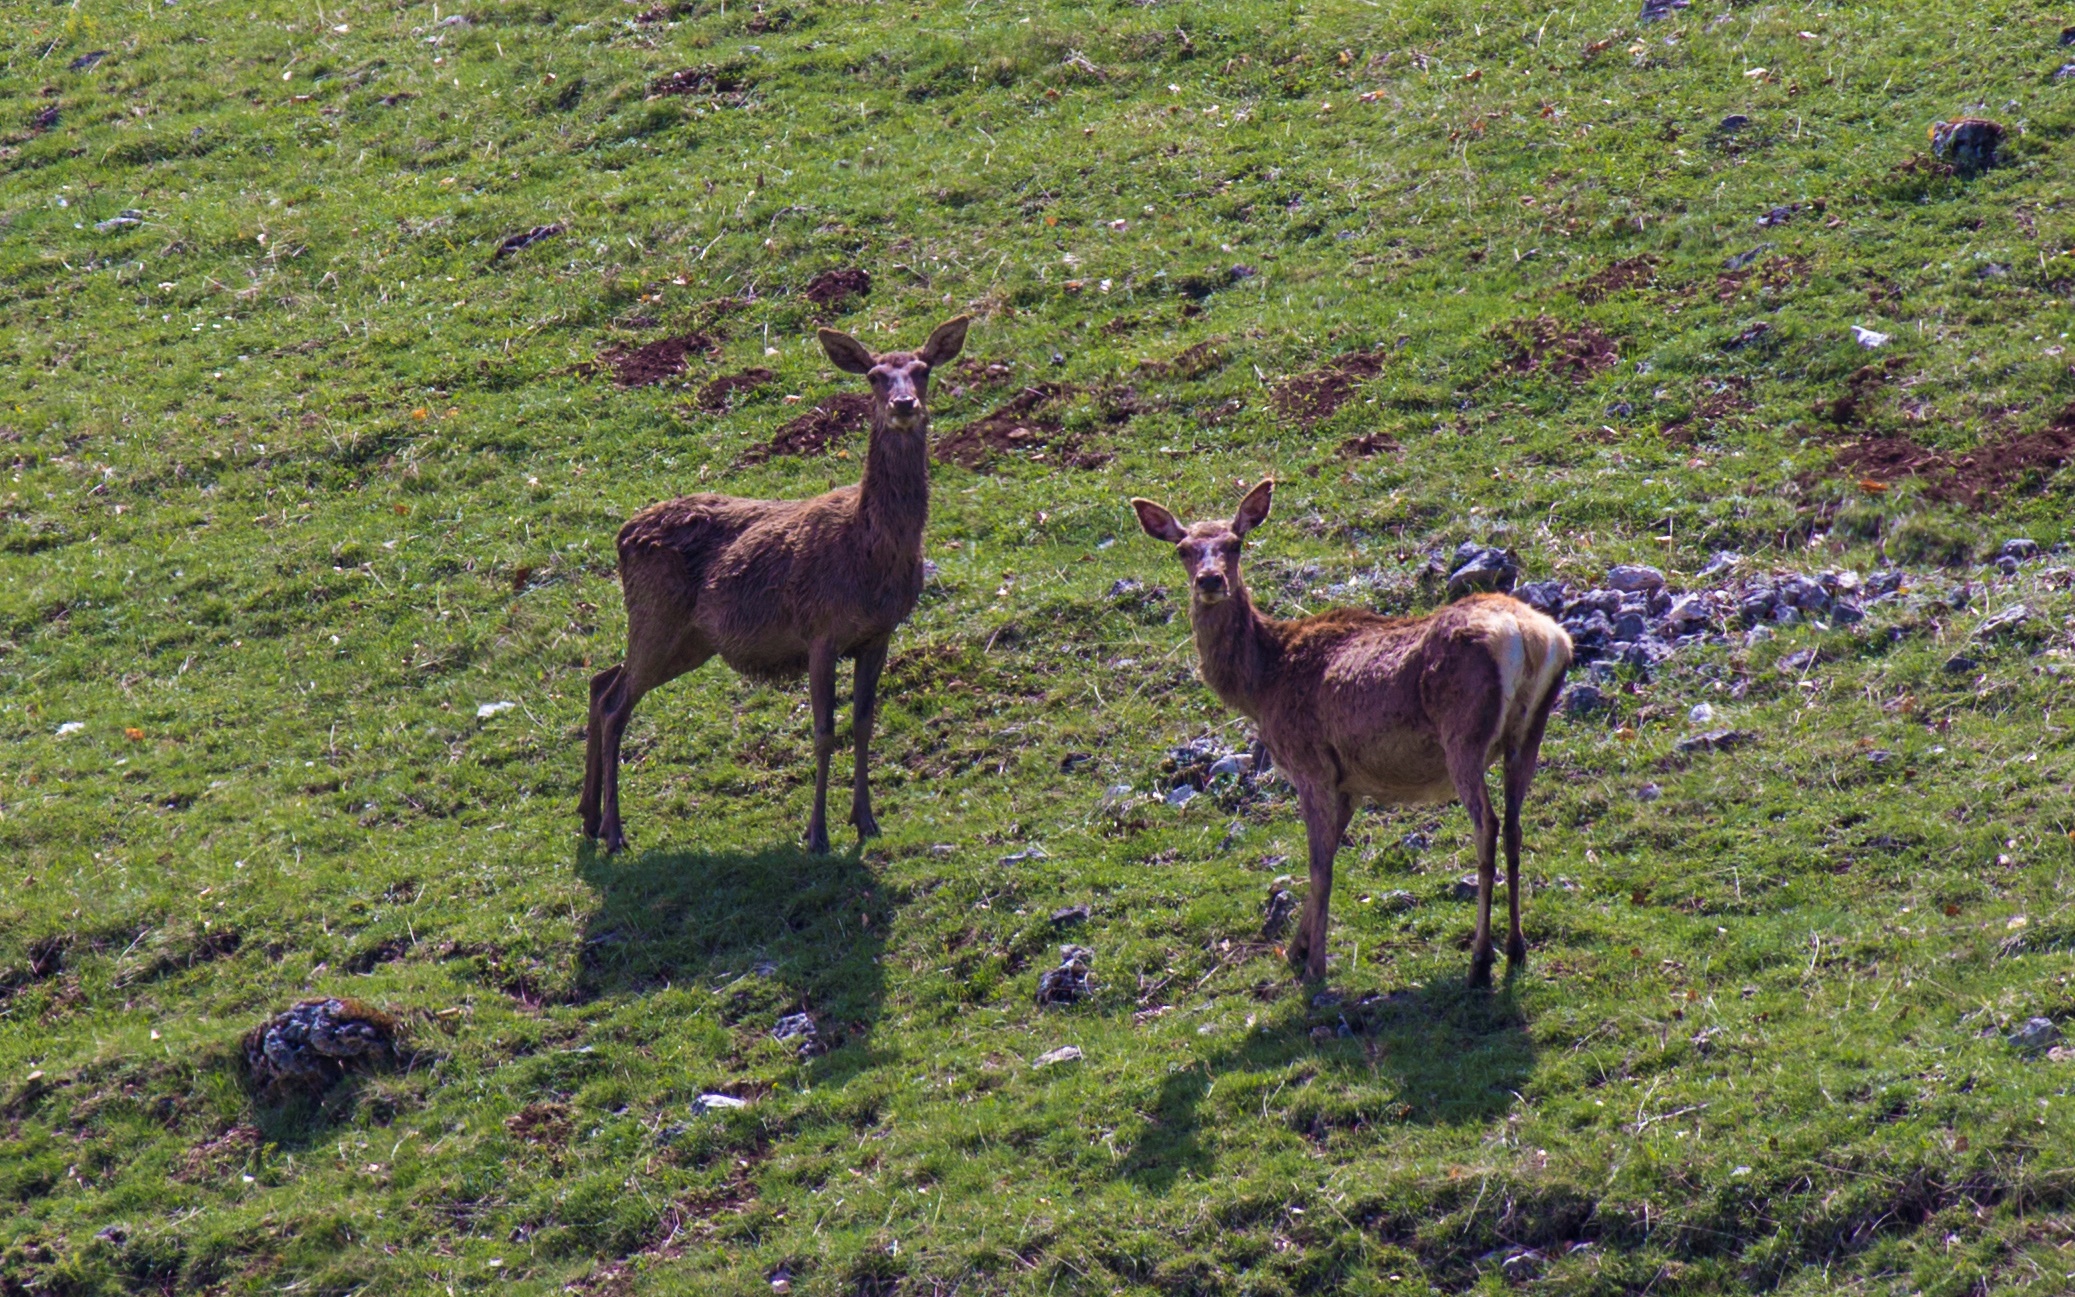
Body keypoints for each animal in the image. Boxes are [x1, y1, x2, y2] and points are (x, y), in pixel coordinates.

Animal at [580, 316, 969, 855]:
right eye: (874, 376)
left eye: (923, 370)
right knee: (617, 704)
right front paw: (817, 834)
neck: (872, 556)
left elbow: (864, 723)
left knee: (602, 681)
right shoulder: (821, 631)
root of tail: (622, 535)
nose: (904, 405)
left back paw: (589, 818)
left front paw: (866, 820)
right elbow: (824, 731)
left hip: (688, 639)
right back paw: (615, 831)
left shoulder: (879, 634)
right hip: (656, 615)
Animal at [1131, 480, 1572, 987]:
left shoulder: (1311, 764)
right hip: (1530, 731)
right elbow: (1328, 853)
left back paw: (1480, 960)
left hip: (1464, 733)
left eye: (1235, 544)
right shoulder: (1350, 784)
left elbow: (1319, 864)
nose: (1209, 580)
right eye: (1184, 550)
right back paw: (1517, 948)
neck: (1262, 684)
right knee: (1516, 825)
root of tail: (1531, 635)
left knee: (1488, 825)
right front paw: (1296, 948)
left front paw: (1315, 966)